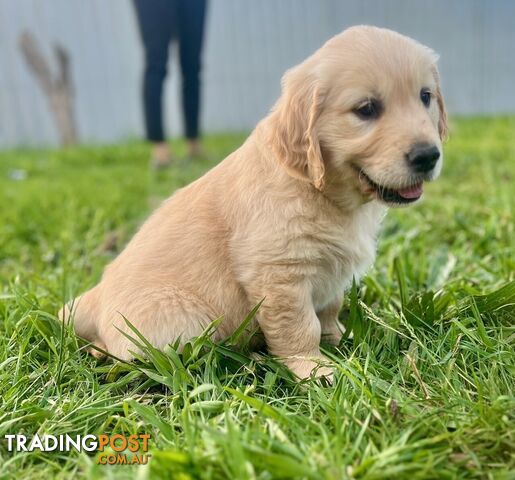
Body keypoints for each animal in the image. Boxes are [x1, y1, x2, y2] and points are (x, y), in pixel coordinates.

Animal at [61, 25, 448, 378]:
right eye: (366, 109)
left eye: (425, 96)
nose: (428, 156)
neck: (318, 187)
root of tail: (93, 297)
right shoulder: (279, 274)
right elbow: (299, 326)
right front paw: (313, 369)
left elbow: (328, 309)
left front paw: (339, 338)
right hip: (185, 320)